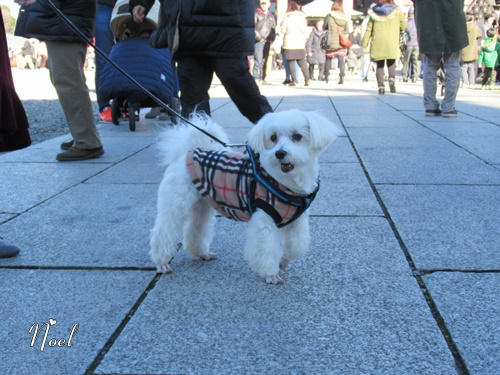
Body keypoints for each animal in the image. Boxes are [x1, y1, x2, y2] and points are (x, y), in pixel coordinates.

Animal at [150, 108, 342, 284]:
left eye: (297, 136)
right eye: (273, 138)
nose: (279, 153)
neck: (287, 184)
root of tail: (187, 151)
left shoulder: (298, 219)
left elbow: (297, 245)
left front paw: (284, 260)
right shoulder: (264, 218)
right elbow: (266, 249)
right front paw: (270, 274)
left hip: (202, 203)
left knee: (196, 228)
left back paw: (201, 253)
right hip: (176, 202)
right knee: (164, 231)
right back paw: (161, 262)